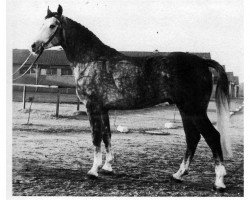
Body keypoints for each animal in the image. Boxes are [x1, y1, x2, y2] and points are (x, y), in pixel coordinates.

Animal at [30, 5, 232, 191]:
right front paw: (107, 167)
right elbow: (107, 135)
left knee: (212, 136)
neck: (91, 60)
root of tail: (202, 62)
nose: (34, 46)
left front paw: (94, 171)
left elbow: (96, 137)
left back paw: (219, 182)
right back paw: (178, 175)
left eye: (52, 25)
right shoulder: (104, 109)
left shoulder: (92, 107)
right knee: (193, 138)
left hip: (194, 110)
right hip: (185, 111)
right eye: (41, 24)